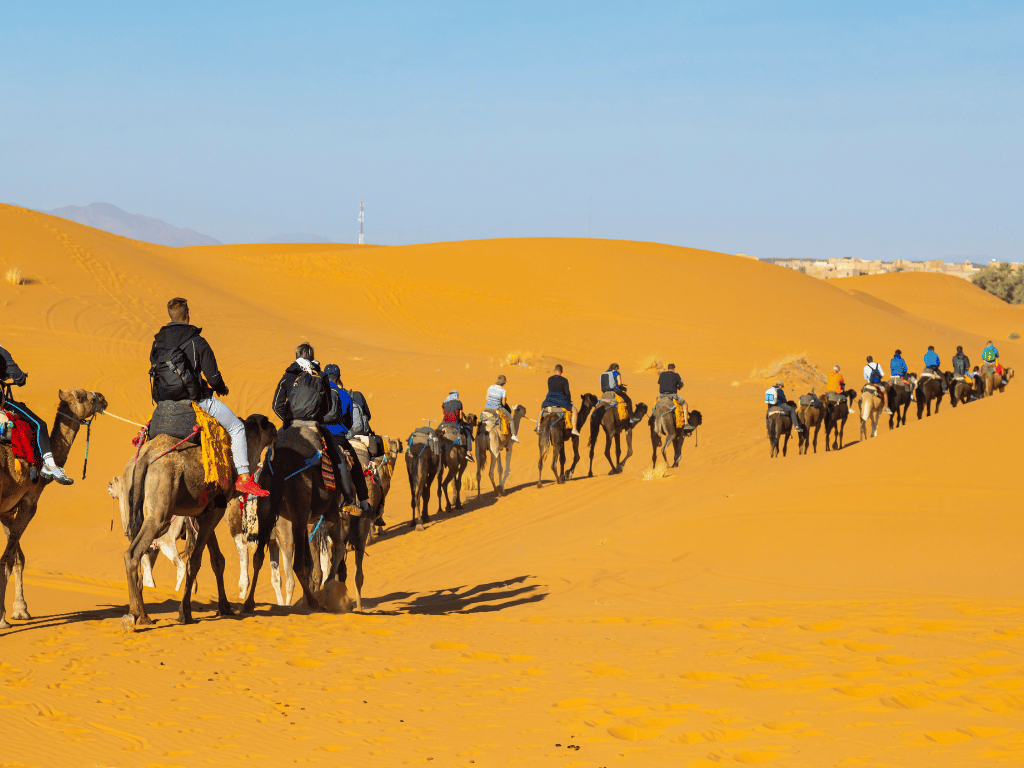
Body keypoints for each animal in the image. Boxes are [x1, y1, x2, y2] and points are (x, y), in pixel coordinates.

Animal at [1, 391, 107, 630]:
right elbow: (9, 558)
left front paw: (20, 610)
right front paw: (4, 617)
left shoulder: (7, 510)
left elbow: (16, 557)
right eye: (84, 397)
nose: (103, 398)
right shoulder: (29, 502)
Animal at [122, 415, 276, 626]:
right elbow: (195, 560)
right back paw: (137, 616)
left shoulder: (203, 512)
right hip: (159, 512)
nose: (276, 428)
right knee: (134, 552)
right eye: (267, 423)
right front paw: (185, 613)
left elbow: (217, 560)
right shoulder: (217, 508)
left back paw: (142, 614)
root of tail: (144, 458)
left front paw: (225, 607)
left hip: (133, 506)